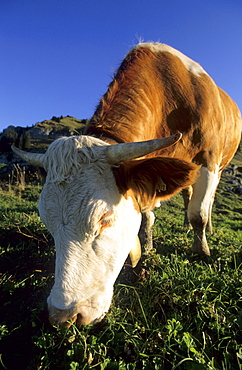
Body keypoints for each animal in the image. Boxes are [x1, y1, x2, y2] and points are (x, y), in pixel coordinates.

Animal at [11, 44, 242, 326]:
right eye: (48, 222)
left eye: (105, 219)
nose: (63, 315)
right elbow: (148, 216)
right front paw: (148, 245)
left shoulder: (208, 159)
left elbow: (198, 213)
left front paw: (201, 251)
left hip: (220, 166)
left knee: (204, 204)